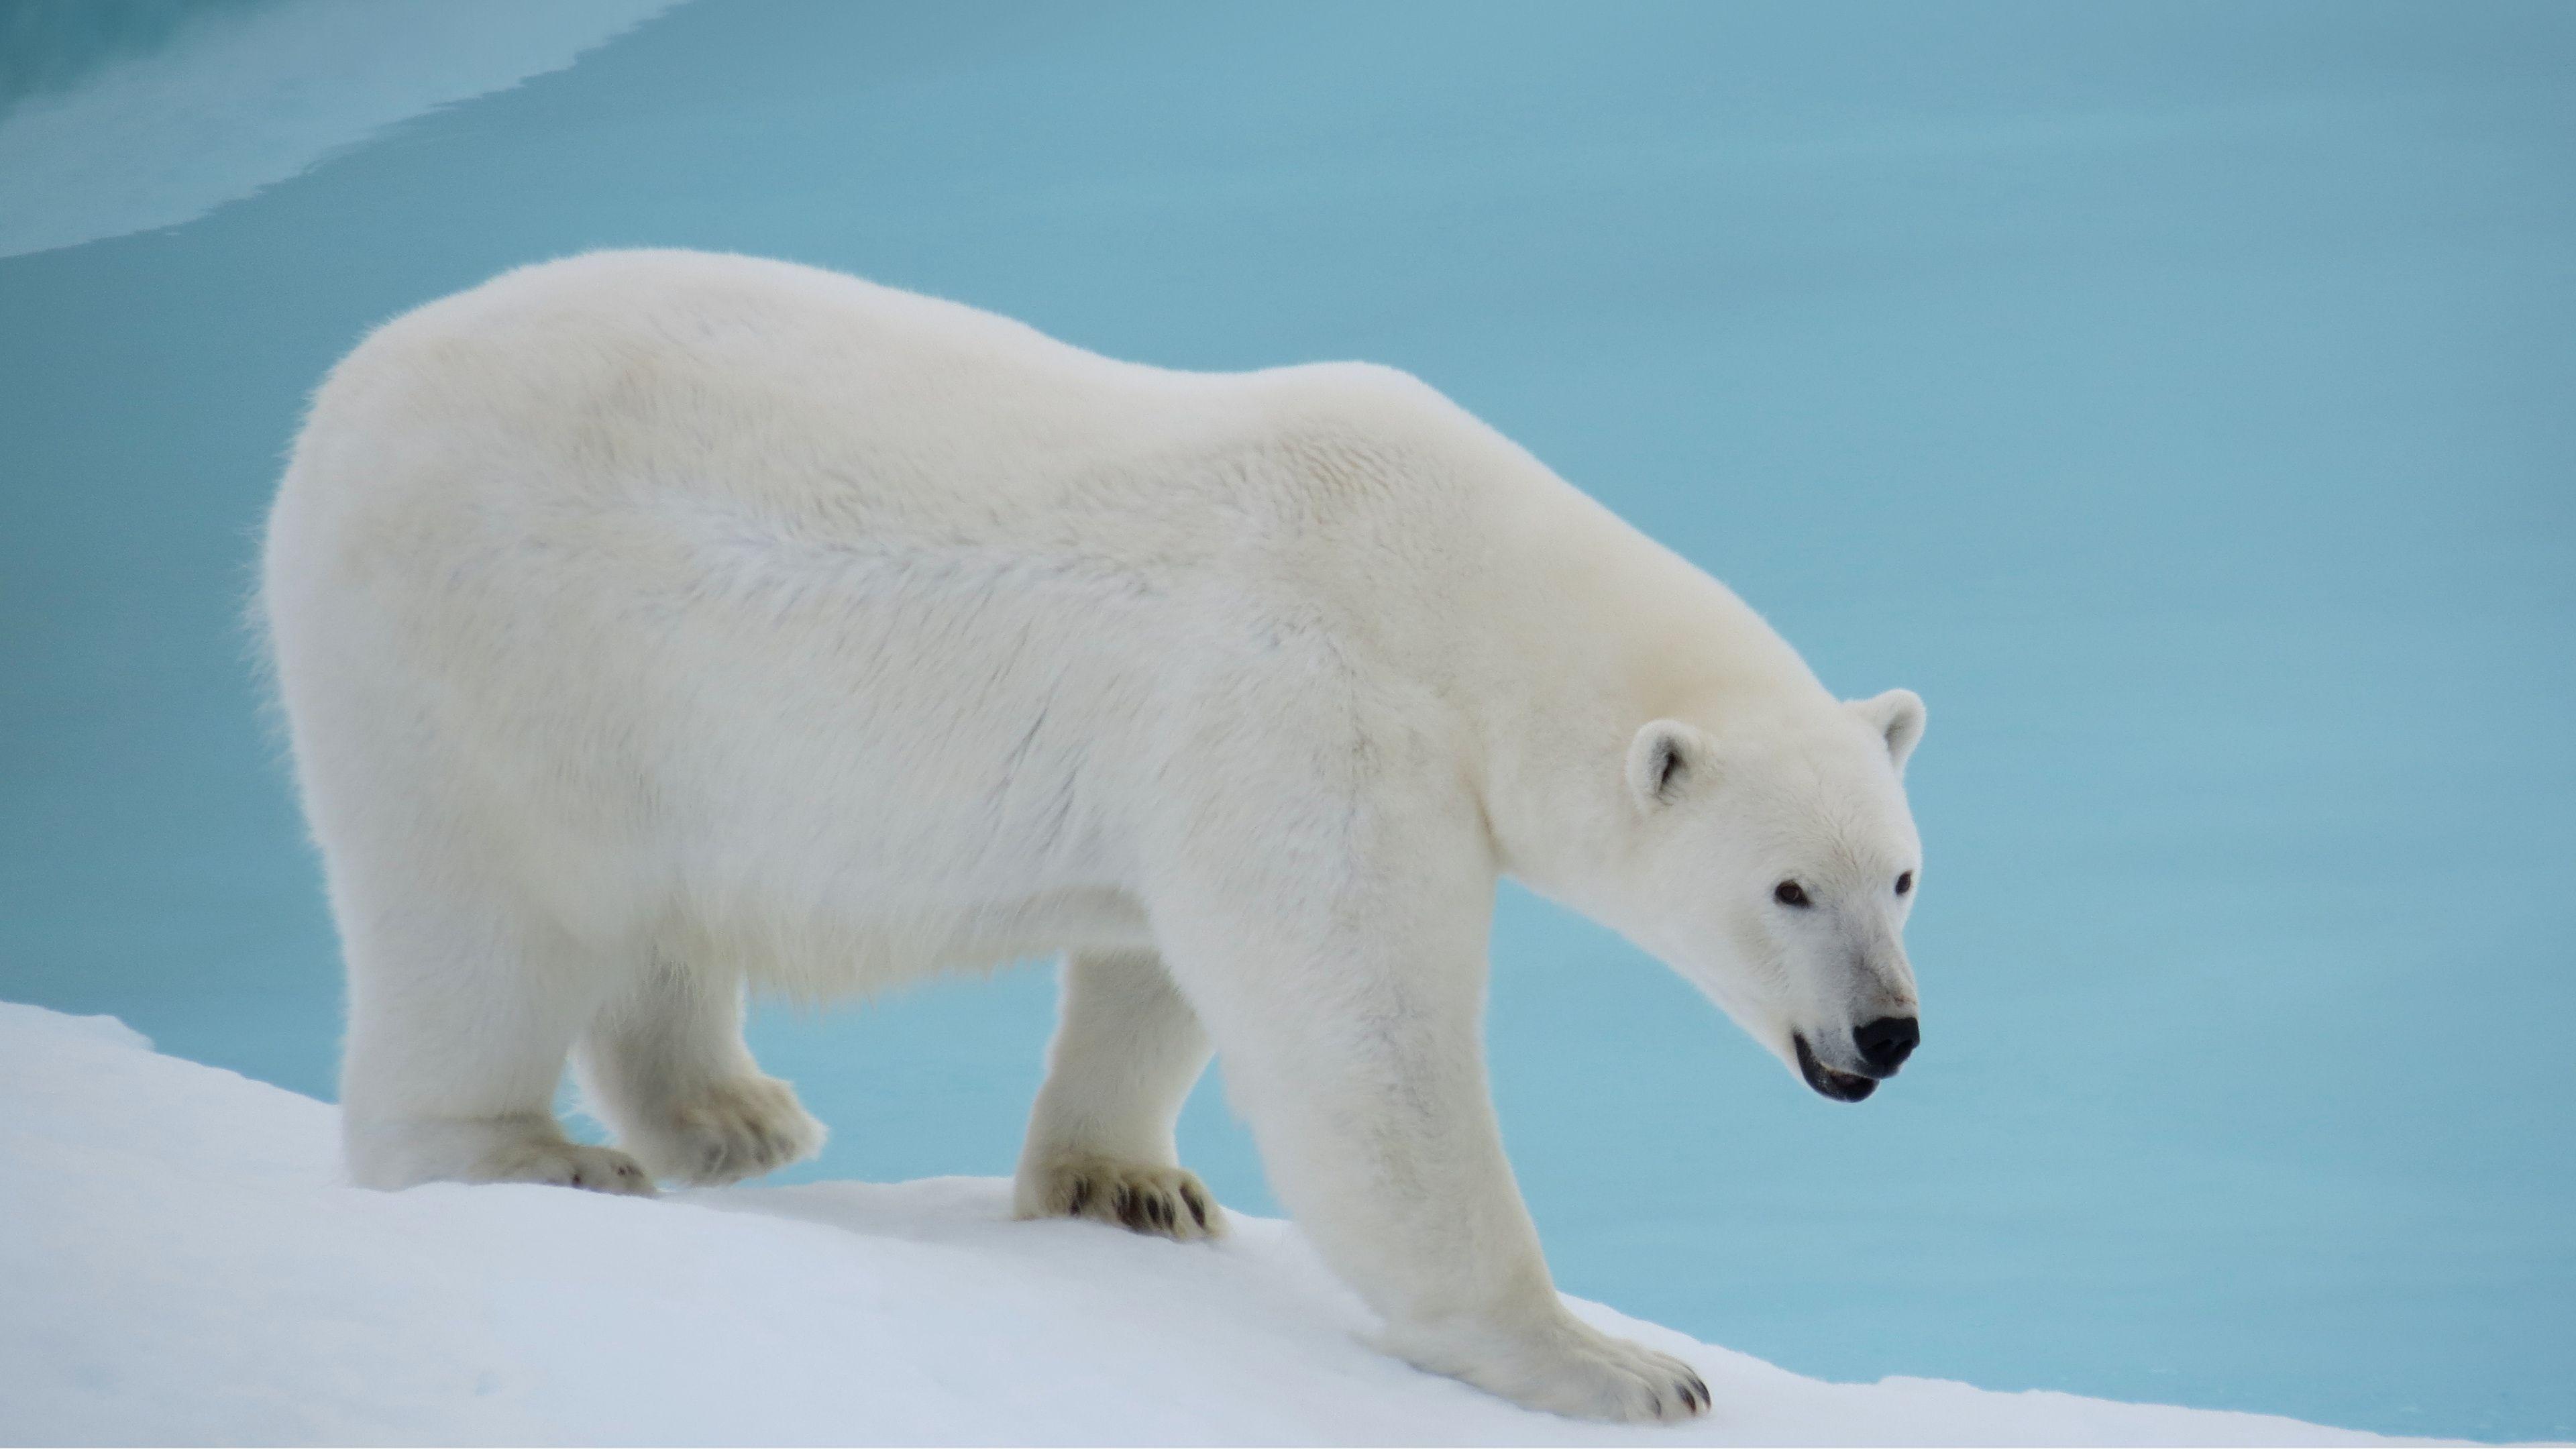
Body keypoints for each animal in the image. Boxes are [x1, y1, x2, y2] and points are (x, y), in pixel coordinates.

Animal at [260, 249, 1927, 1424]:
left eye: (1905, 874)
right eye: (1788, 889)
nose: (1889, 1032)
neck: (1447, 575)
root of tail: (342, 398)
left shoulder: (1208, 755)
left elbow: (1156, 967)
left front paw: (1126, 1185)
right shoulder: (1309, 700)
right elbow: (1363, 1045)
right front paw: (1615, 1362)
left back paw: (732, 1114)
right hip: (488, 649)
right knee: (481, 919)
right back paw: (527, 1152)